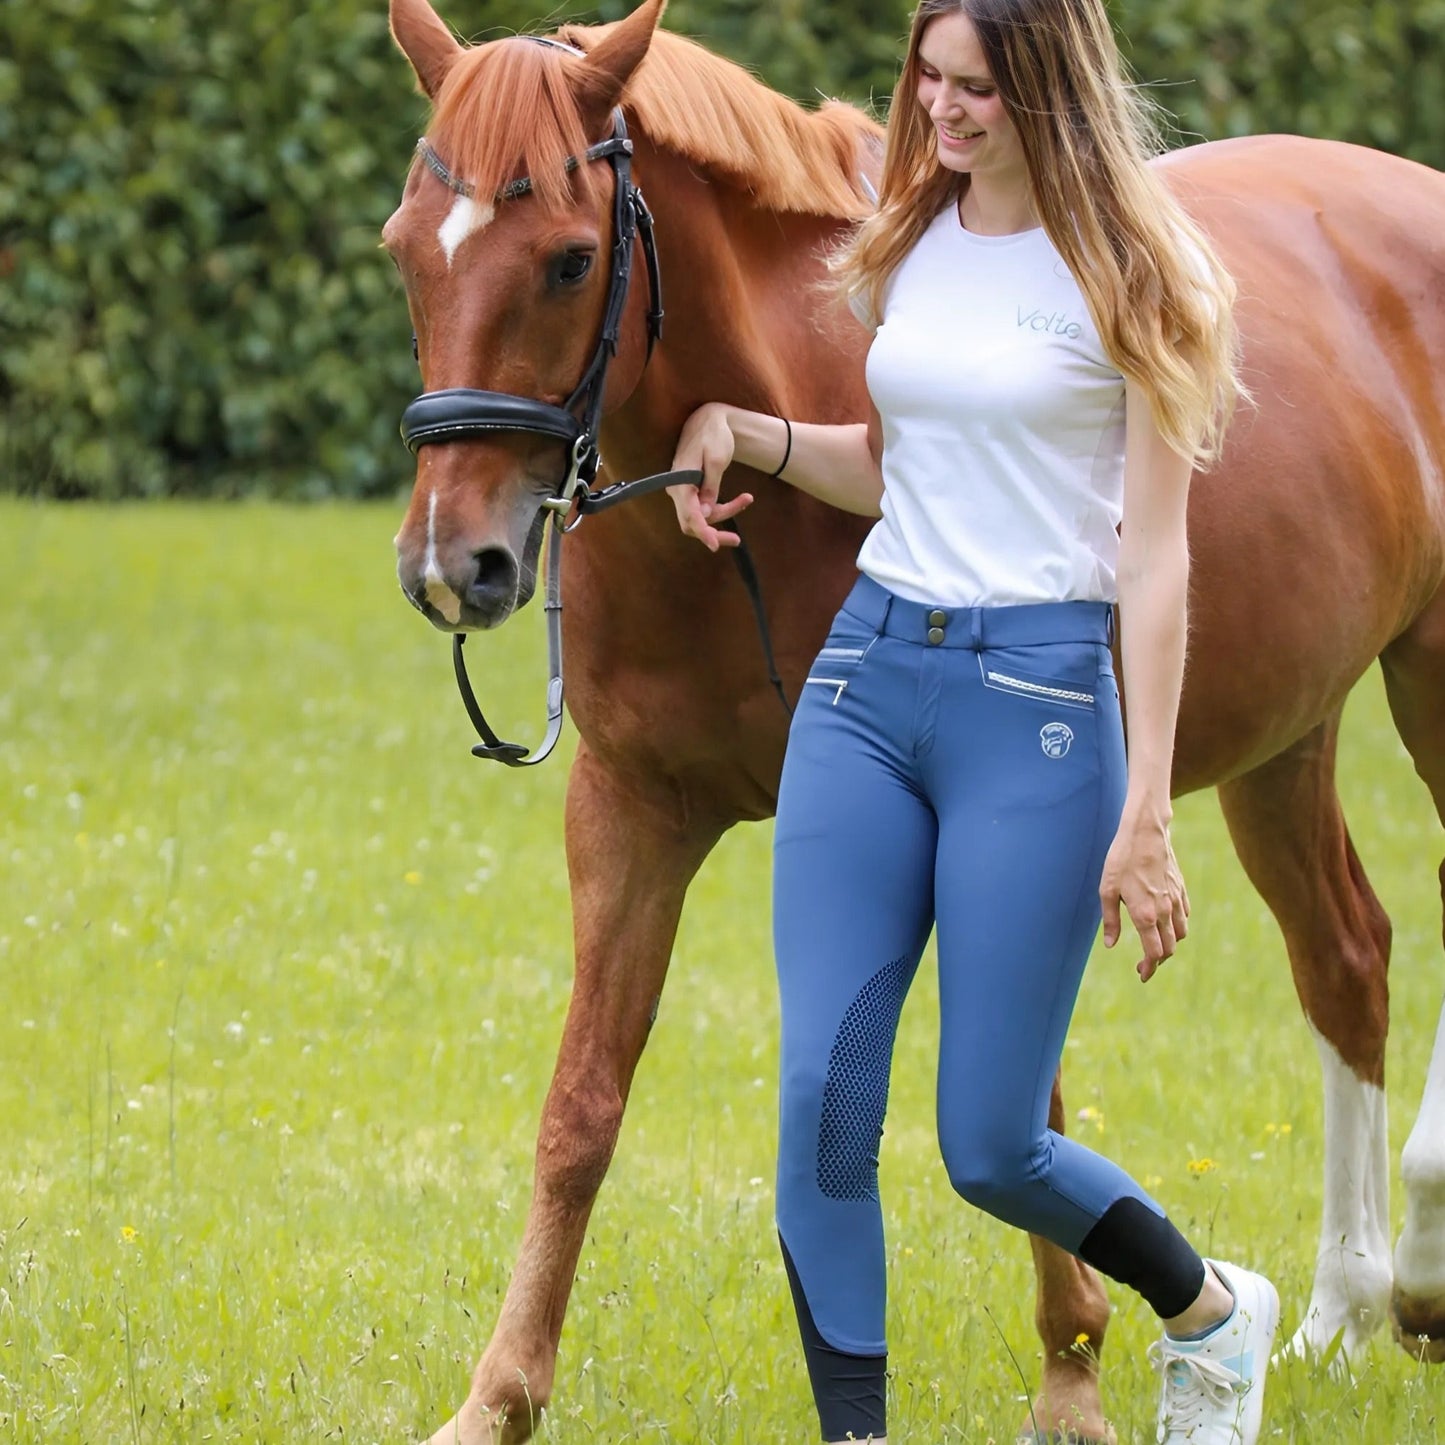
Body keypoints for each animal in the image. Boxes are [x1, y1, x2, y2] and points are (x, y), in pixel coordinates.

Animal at [381, 5, 1445, 1439]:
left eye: (566, 258)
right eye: (403, 252)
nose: (458, 563)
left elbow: (1024, 1095)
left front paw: (1071, 1373)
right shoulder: (631, 810)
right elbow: (581, 1107)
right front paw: (496, 1397)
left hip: (1423, 676)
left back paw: (1416, 1275)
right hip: (1285, 737)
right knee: (1344, 956)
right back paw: (1340, 1306)